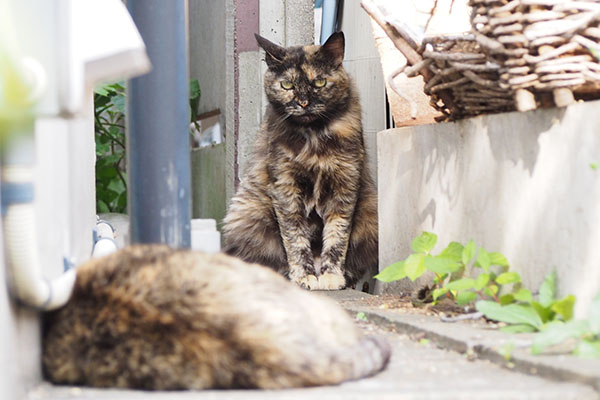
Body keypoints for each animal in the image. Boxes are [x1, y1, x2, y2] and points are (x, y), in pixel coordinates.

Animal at [223, 32, 378, 290]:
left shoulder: (345, 185)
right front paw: (304, 276)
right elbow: (294, 237)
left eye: (320, 83)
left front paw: (331, 276)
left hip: (371, 213)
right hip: (248, 213)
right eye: (287, 85)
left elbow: (337, 236)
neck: (312, 136)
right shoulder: (285, 186)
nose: (303, 102)